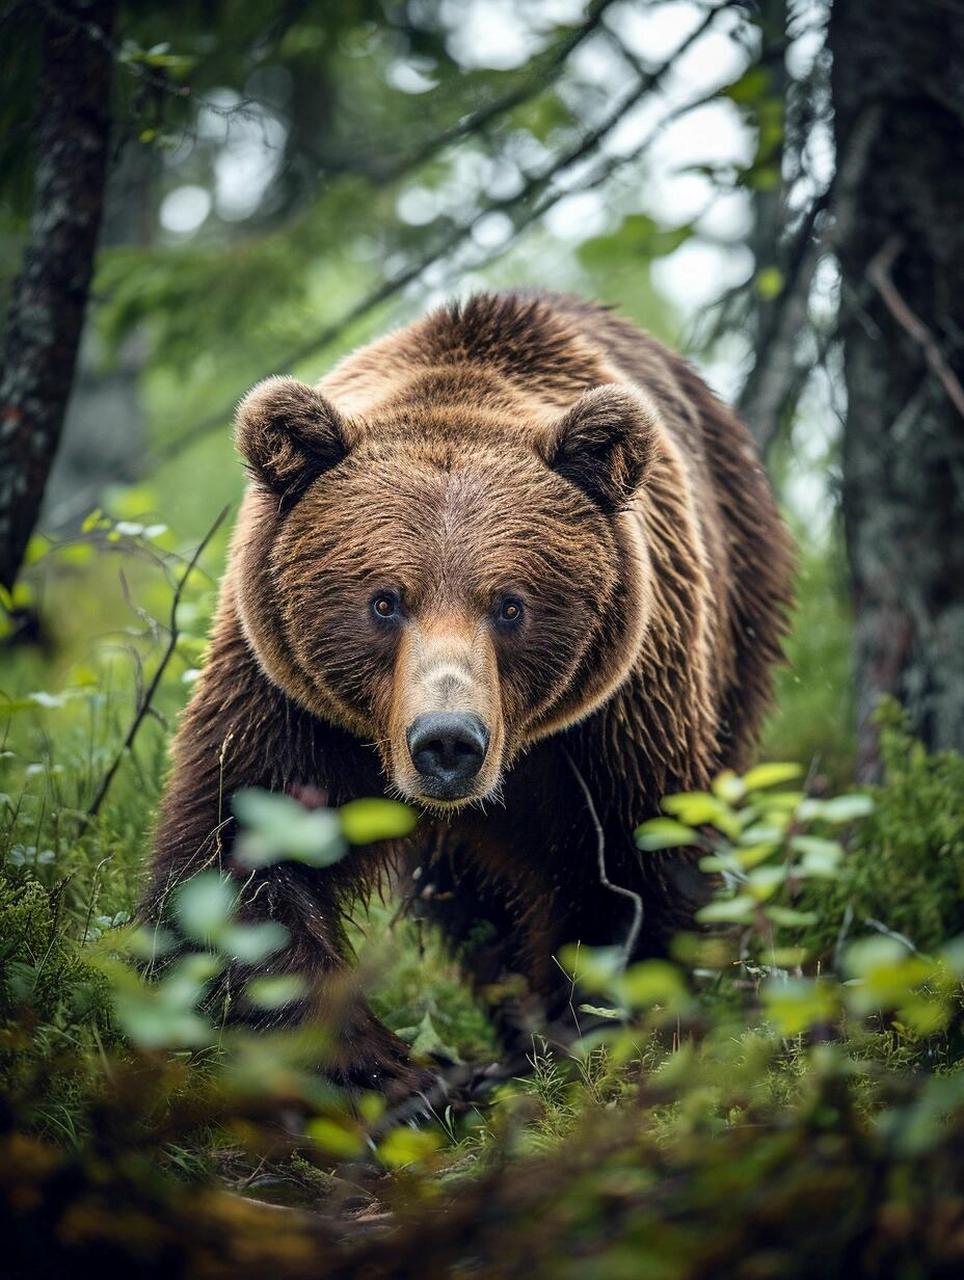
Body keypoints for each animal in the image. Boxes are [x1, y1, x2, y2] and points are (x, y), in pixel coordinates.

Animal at [145, 290, 793, 1093]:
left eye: (510, 604)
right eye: (384, 600)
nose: (447, 741)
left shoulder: (619, 715)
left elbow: (634, 871)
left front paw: (585, 1047)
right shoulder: (287, 697)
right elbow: (239, 856)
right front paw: (389, 1074)